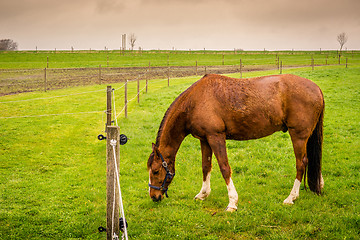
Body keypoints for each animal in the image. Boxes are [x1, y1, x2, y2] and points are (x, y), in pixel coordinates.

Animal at [146, 73, 324, 212]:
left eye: (155, 171)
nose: (154, 196)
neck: (195, 101)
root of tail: (317, 88)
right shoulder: (205, 140)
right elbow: (206, 167)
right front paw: (203, 194)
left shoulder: (216, 137)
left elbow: (224, 168)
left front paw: (232, 202)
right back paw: (319, 185)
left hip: (298, 136)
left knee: (301, 163)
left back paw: (291, 197)